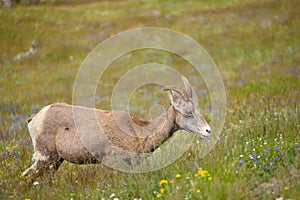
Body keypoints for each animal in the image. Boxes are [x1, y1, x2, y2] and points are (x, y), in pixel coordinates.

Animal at [21, 76, 211, 183]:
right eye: (187, 112)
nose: (207, 130)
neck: (137, 132)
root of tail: (35, 118)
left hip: (54, 162)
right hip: (45, 159)